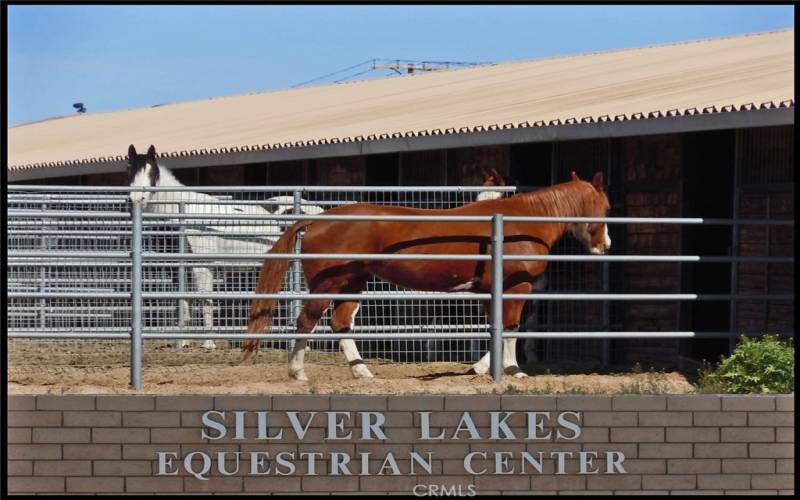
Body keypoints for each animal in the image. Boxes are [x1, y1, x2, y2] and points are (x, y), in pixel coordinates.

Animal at [241, 170, 608, 380]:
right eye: (605, 207)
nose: (605, 245)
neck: (522, 222)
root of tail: (318, 220)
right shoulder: (516, 288)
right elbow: (512, 327)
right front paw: (513, 371)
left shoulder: (489, 291)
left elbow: (497, 328)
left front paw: (482, 369)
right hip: (327, 285)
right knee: (306, 321)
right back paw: (298, 373)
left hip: (352, 283)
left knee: (341, 323)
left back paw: (363, 372)